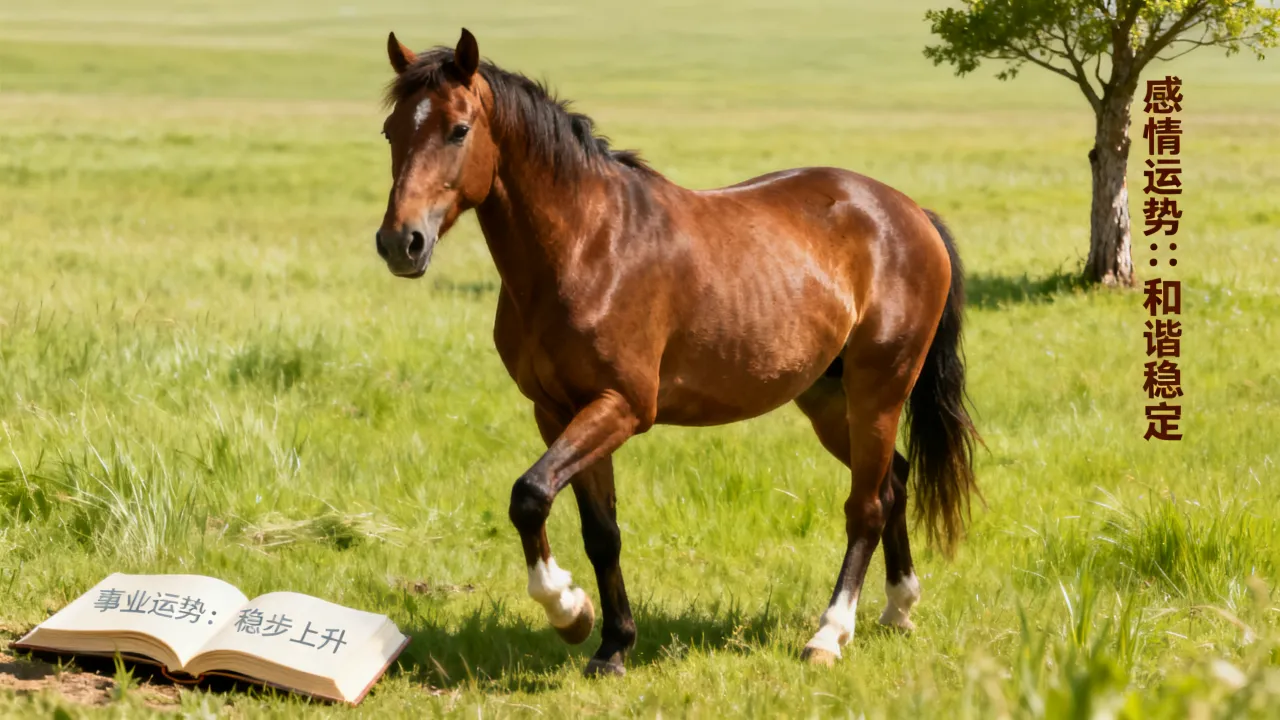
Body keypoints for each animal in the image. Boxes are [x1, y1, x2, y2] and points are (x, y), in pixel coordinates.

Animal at [374, 28, 980, 676]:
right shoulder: (558, 412)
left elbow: (530, 496)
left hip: (879, 390)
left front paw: (567, 611)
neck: (588, 246)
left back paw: (829, 634)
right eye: (391, 131)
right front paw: (610, 643)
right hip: (826, 398)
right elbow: (600, 532)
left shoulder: (622, 406)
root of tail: (911, 213)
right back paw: (898, 609)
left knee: (866, 506)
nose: (401, 242)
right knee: (894, 482)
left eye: (459, 129)